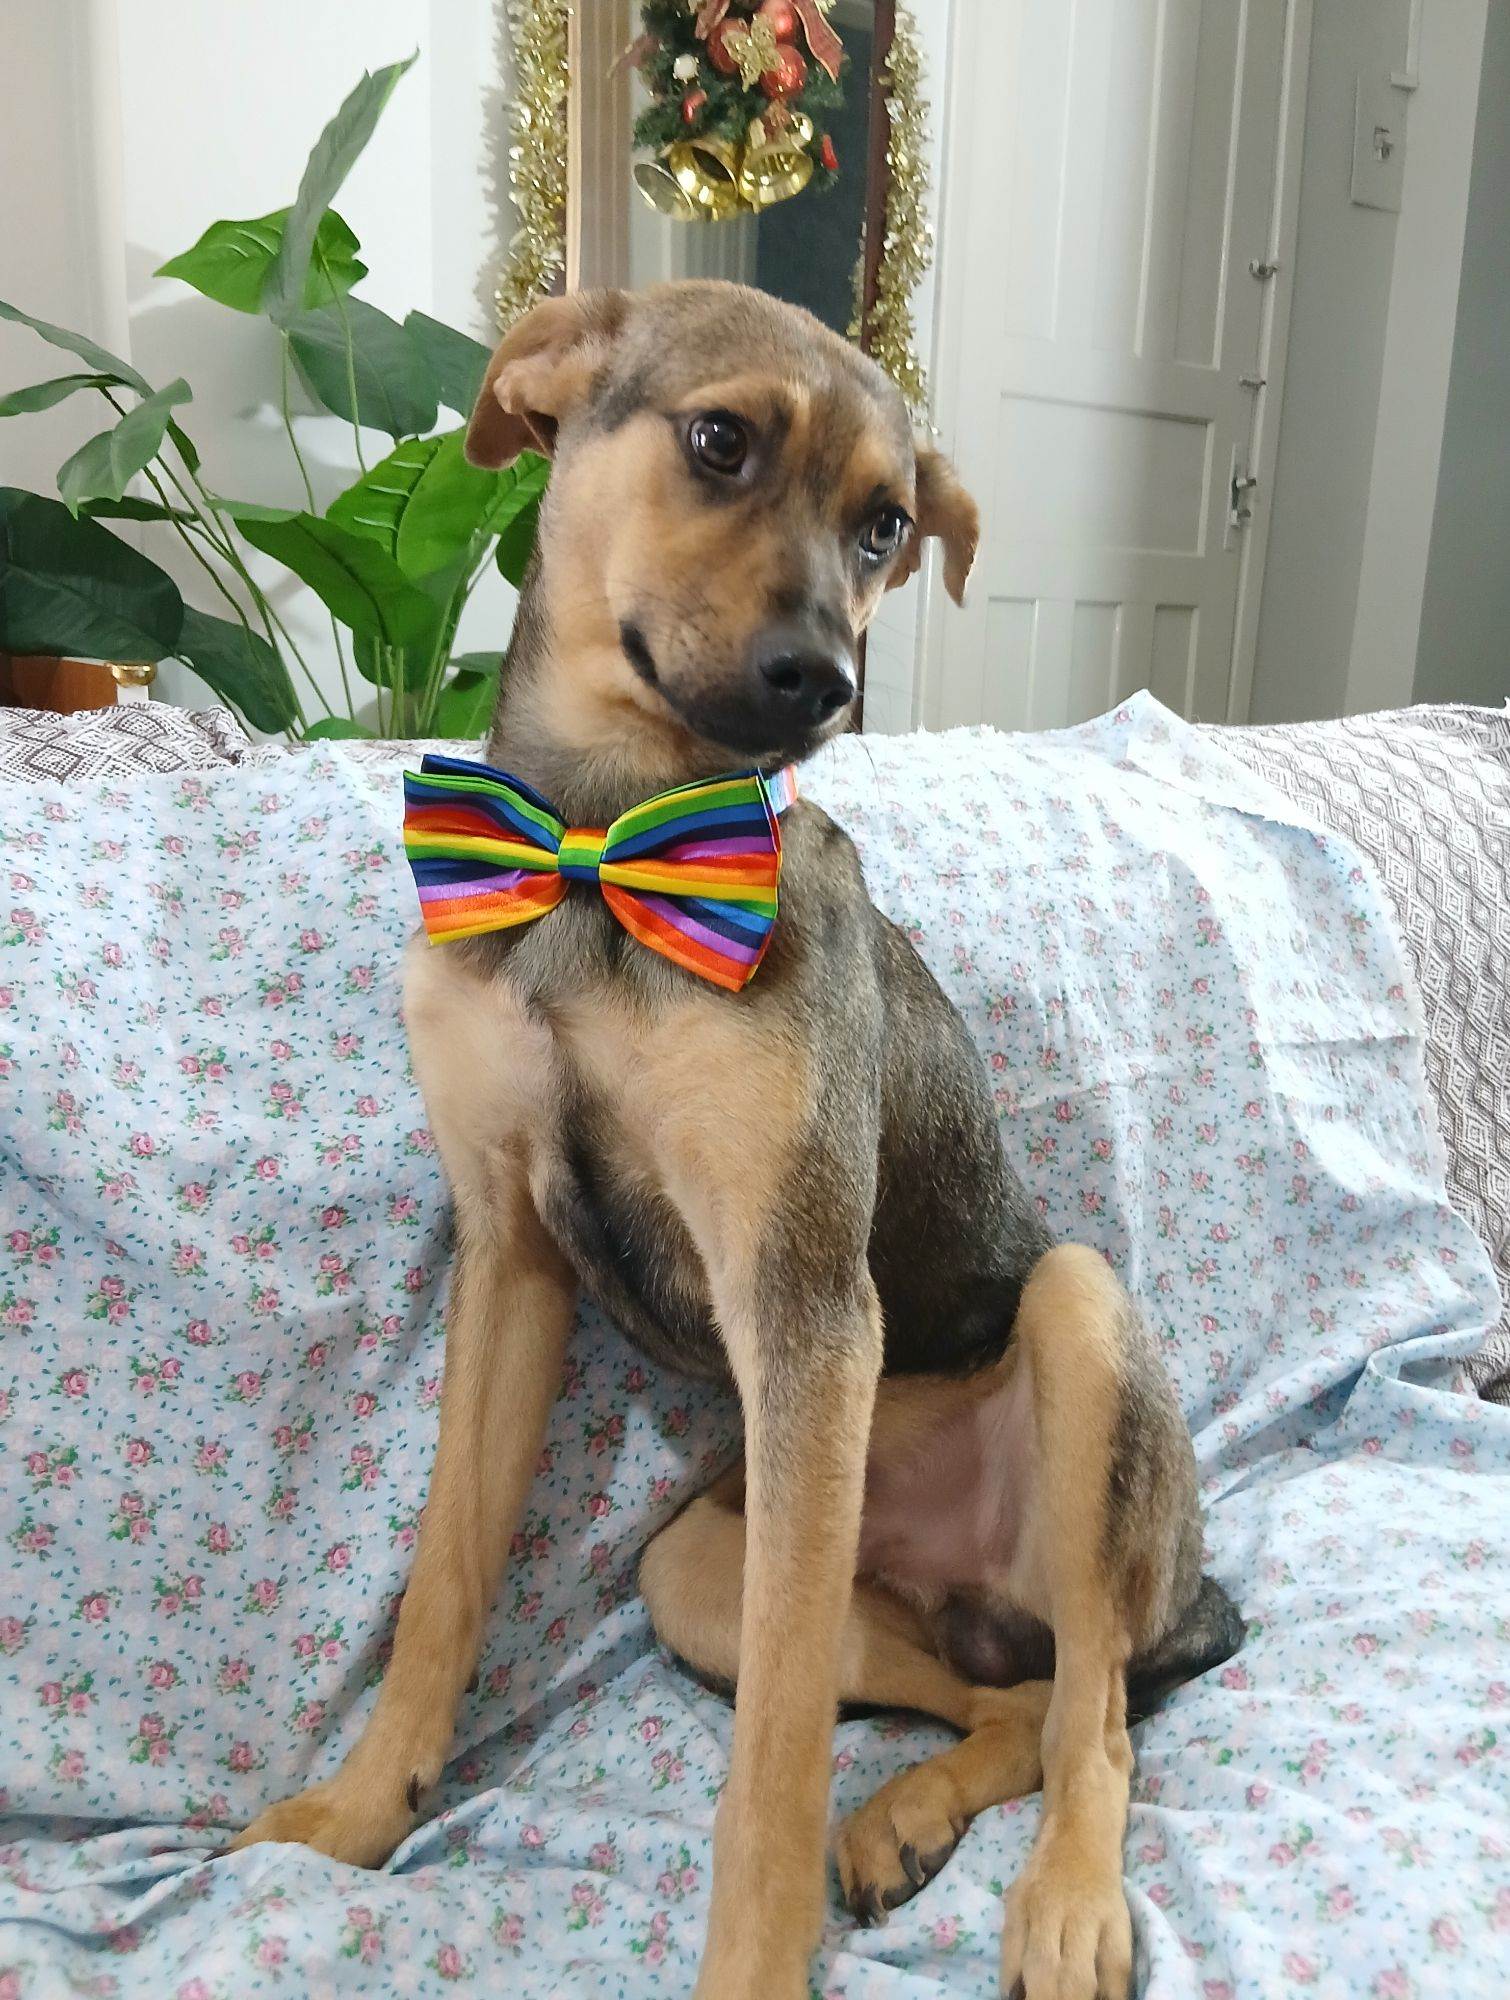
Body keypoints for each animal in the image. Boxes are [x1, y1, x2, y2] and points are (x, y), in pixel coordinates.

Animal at [233, 281, 1241, 2000]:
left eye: (886, 527)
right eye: (718, 440)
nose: (822, 683)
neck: (599, 852)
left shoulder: (799, 1295)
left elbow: (767, 1765)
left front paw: (753, 1964)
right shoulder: (509, 1254)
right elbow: (443, 1582)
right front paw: (361, 1813)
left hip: (1074, 1326)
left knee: (1095, 1713)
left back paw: (1063, 1905)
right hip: (709, 1570)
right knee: (1010, 1703)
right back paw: (901, 1821)